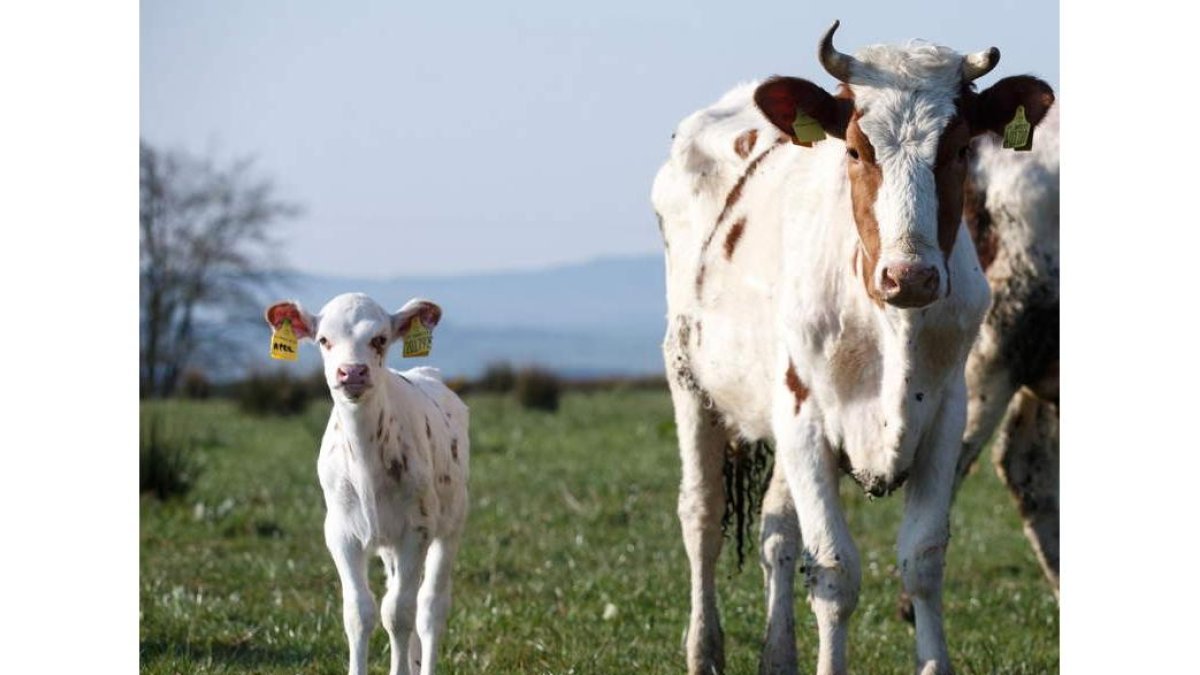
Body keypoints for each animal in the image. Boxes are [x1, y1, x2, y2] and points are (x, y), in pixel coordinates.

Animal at [264, 293, 469, 675]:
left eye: (380, 339)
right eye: (323, 340)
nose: (352, 372)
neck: (366, 461)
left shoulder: (416, 531)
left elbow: (399, 613)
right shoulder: (341, 533)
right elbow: (360, 612)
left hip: (451, 524)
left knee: (430, 607)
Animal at [650, 20, 1054, 675]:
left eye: (959, 150)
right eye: (857, 151)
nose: (910, 276)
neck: (893, 330)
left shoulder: (946, 415)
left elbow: (922, 560)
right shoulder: (806, 419)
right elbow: (835, 571)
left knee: (776, 529)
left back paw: (778, 656)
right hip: (690, 380)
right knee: (703, 517)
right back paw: (704, 650)